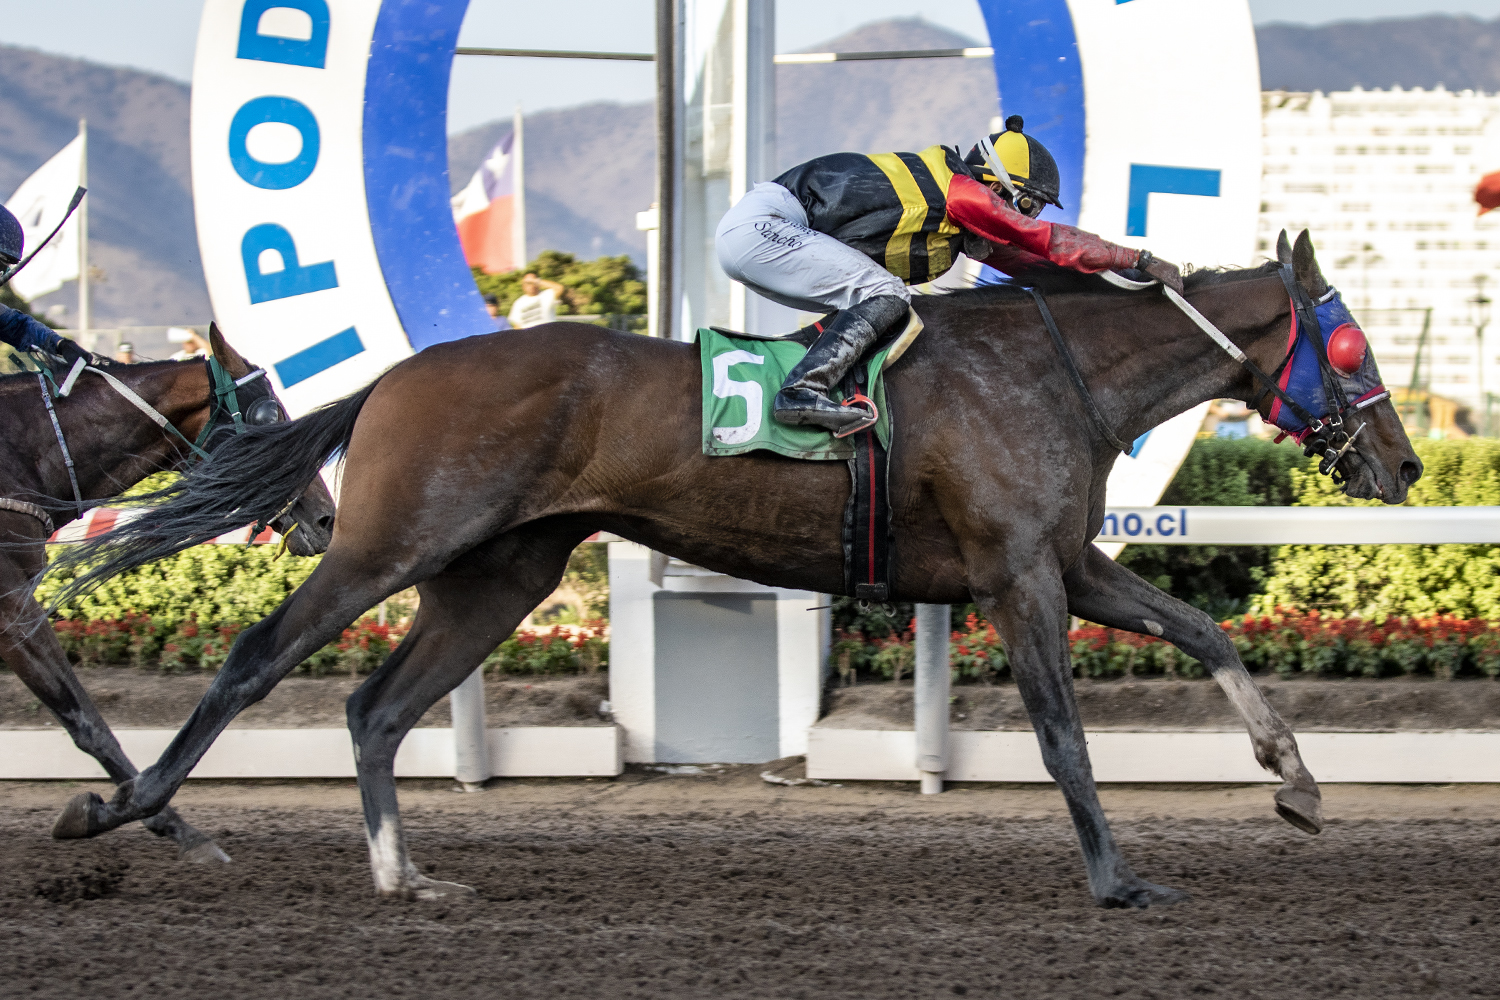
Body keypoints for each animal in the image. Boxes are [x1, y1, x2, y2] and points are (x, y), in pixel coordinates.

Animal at [2, 325, 335, 862]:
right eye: (272, 417)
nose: (327, 518)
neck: (23, 448)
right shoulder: (10, 602)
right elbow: (86, 719)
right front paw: (173, 826)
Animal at [43, 231, 1420, 906]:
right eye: (1351, 339)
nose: (1403, 462)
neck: (1052, 368)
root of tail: (390, 375)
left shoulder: (1067, 564)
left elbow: (1210, 632)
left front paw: (1297, 785)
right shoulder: (1016, 578)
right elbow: (1063, 736)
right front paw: (1120, 879)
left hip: (500, 573)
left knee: (378, 705)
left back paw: (406, 876)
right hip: (394, 542)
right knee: (256, 660)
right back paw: (119, 810)